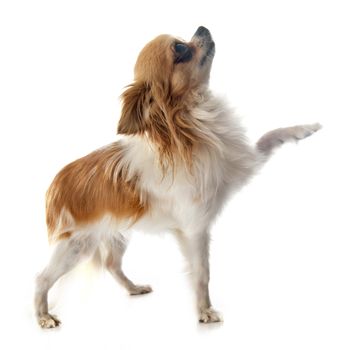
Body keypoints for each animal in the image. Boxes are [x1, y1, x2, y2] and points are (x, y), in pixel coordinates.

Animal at [34, 26, 322, 326]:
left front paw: (306, 128)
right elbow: (202, 273)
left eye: (183, 40)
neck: (195, 124)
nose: (201, 28)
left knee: (112, 264)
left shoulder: (242, 164)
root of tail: (56, 184)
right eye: (180, 50)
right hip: (76, 245)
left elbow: (270, 135)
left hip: (115, 234)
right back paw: (44, 317)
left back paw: (133, 288)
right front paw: (204, 311)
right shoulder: (196, 228)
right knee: (41, 278)